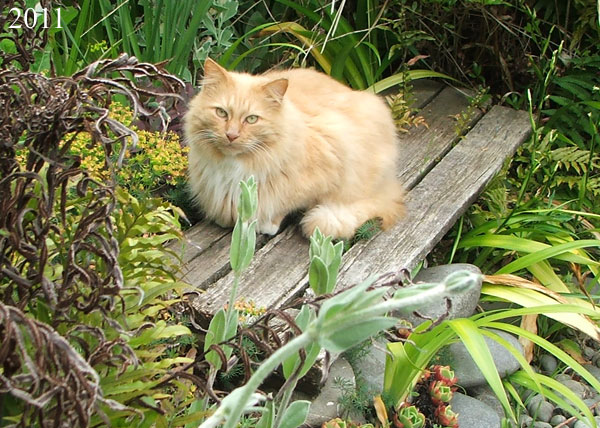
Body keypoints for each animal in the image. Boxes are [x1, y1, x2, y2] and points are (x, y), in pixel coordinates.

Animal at [185, 58, 406, 239]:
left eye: (252, 119)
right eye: (221, 113)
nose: (231, 135)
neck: (234, 165)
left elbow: (285, 203)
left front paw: (266, 224)